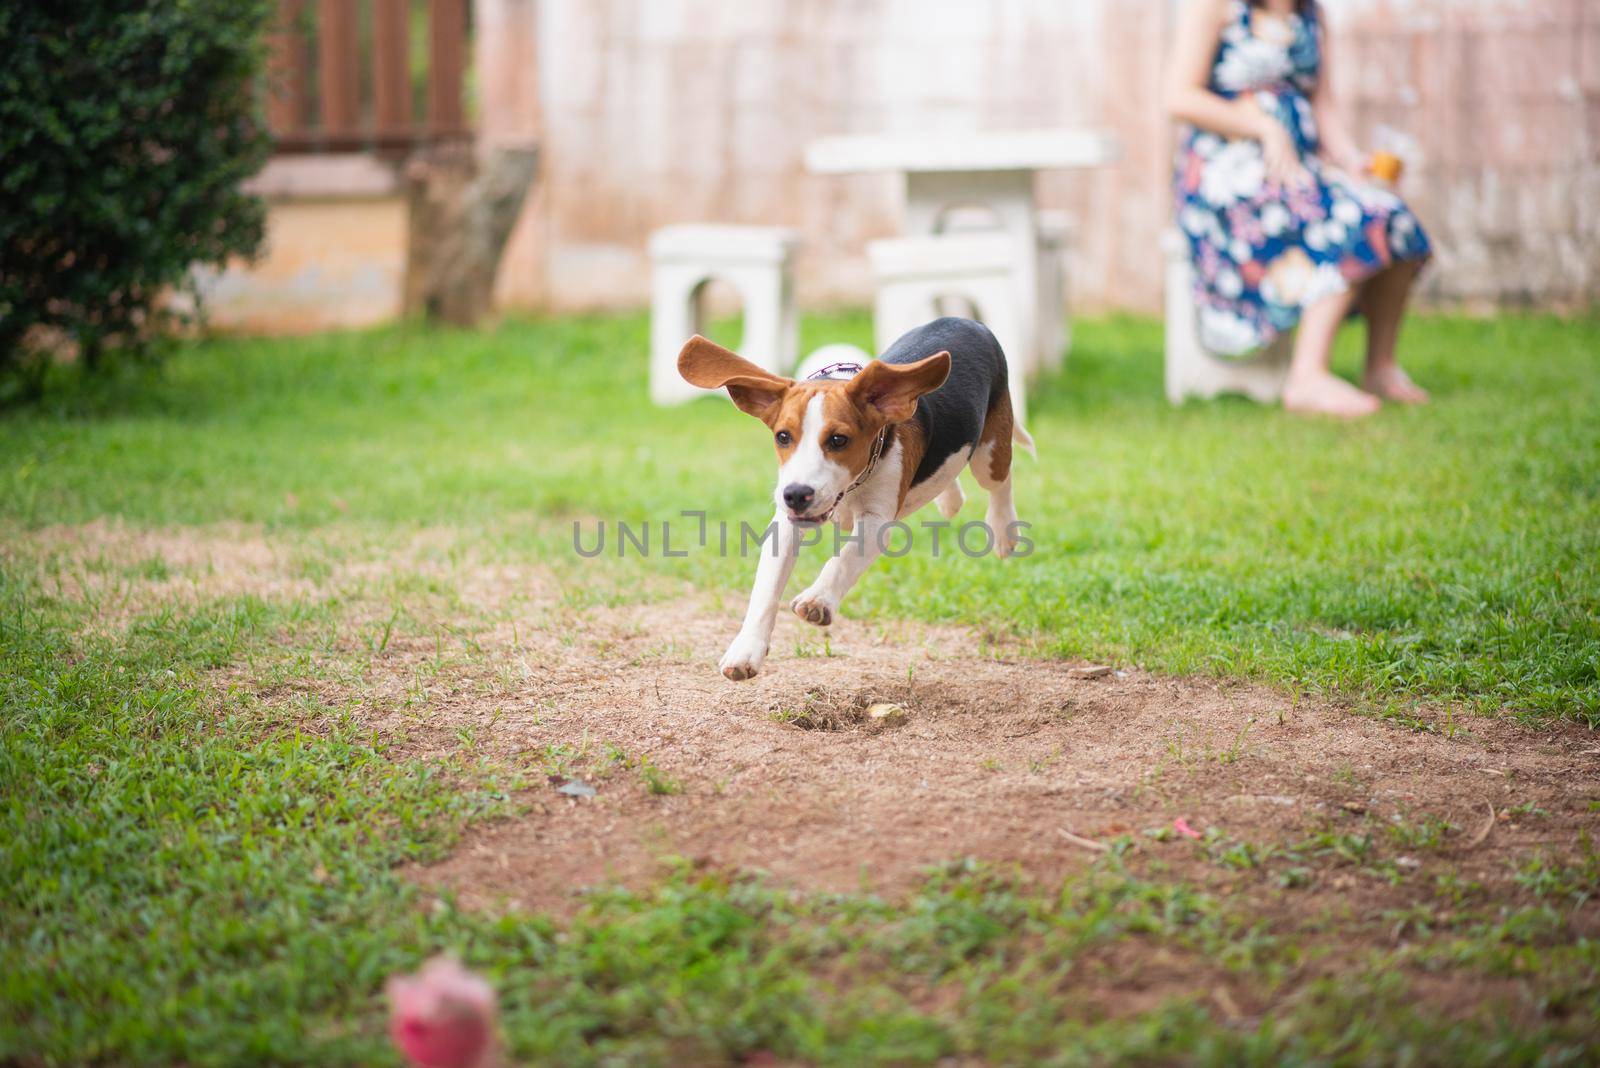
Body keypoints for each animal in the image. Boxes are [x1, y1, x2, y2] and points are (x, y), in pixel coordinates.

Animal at [678, 316, 1036, 684]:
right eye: (783, 436)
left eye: (838, 440)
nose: (795, 494)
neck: (851, 489)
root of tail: (967, 321)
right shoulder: (786, 525)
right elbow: (766, 590)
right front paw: (746, 649)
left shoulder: (877, 521)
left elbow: (844, 558)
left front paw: (818, 599)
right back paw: (948, 500)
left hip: (990, 451)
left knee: (1000, 480)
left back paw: (1004, 530)